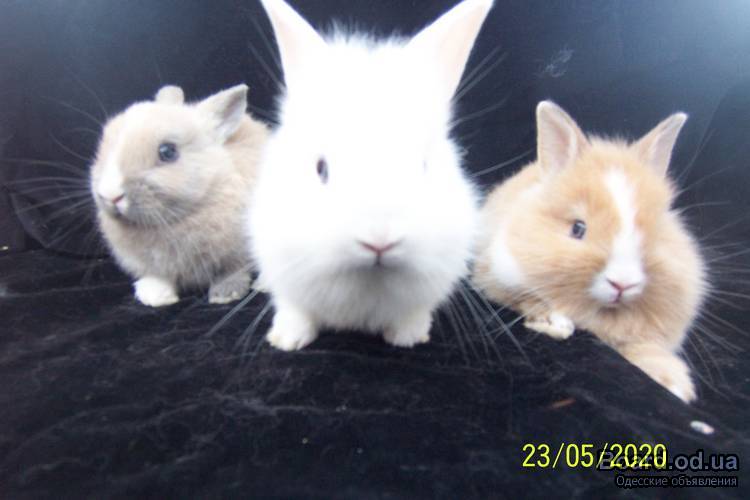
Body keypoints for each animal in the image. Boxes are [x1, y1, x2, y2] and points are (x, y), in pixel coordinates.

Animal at [90, 84, 269, 307]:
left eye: (167, 152)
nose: (109, 194)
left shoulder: (237, 253)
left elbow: (232, 270)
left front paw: (226, 294)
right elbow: (160, 276)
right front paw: (154, 297)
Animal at [247, 0, 494, 350]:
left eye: (424, 165)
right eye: (321, 168)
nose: (379, 241)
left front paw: (408, 338)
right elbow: (295, 310)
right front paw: (286, 340)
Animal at [473, 101, 707, 403]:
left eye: (656, 234)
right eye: (577, 228)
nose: (623, 283)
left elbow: (642, 347)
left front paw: (675, 383)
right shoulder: (495, 277)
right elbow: (528, 299)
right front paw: (554, 323)